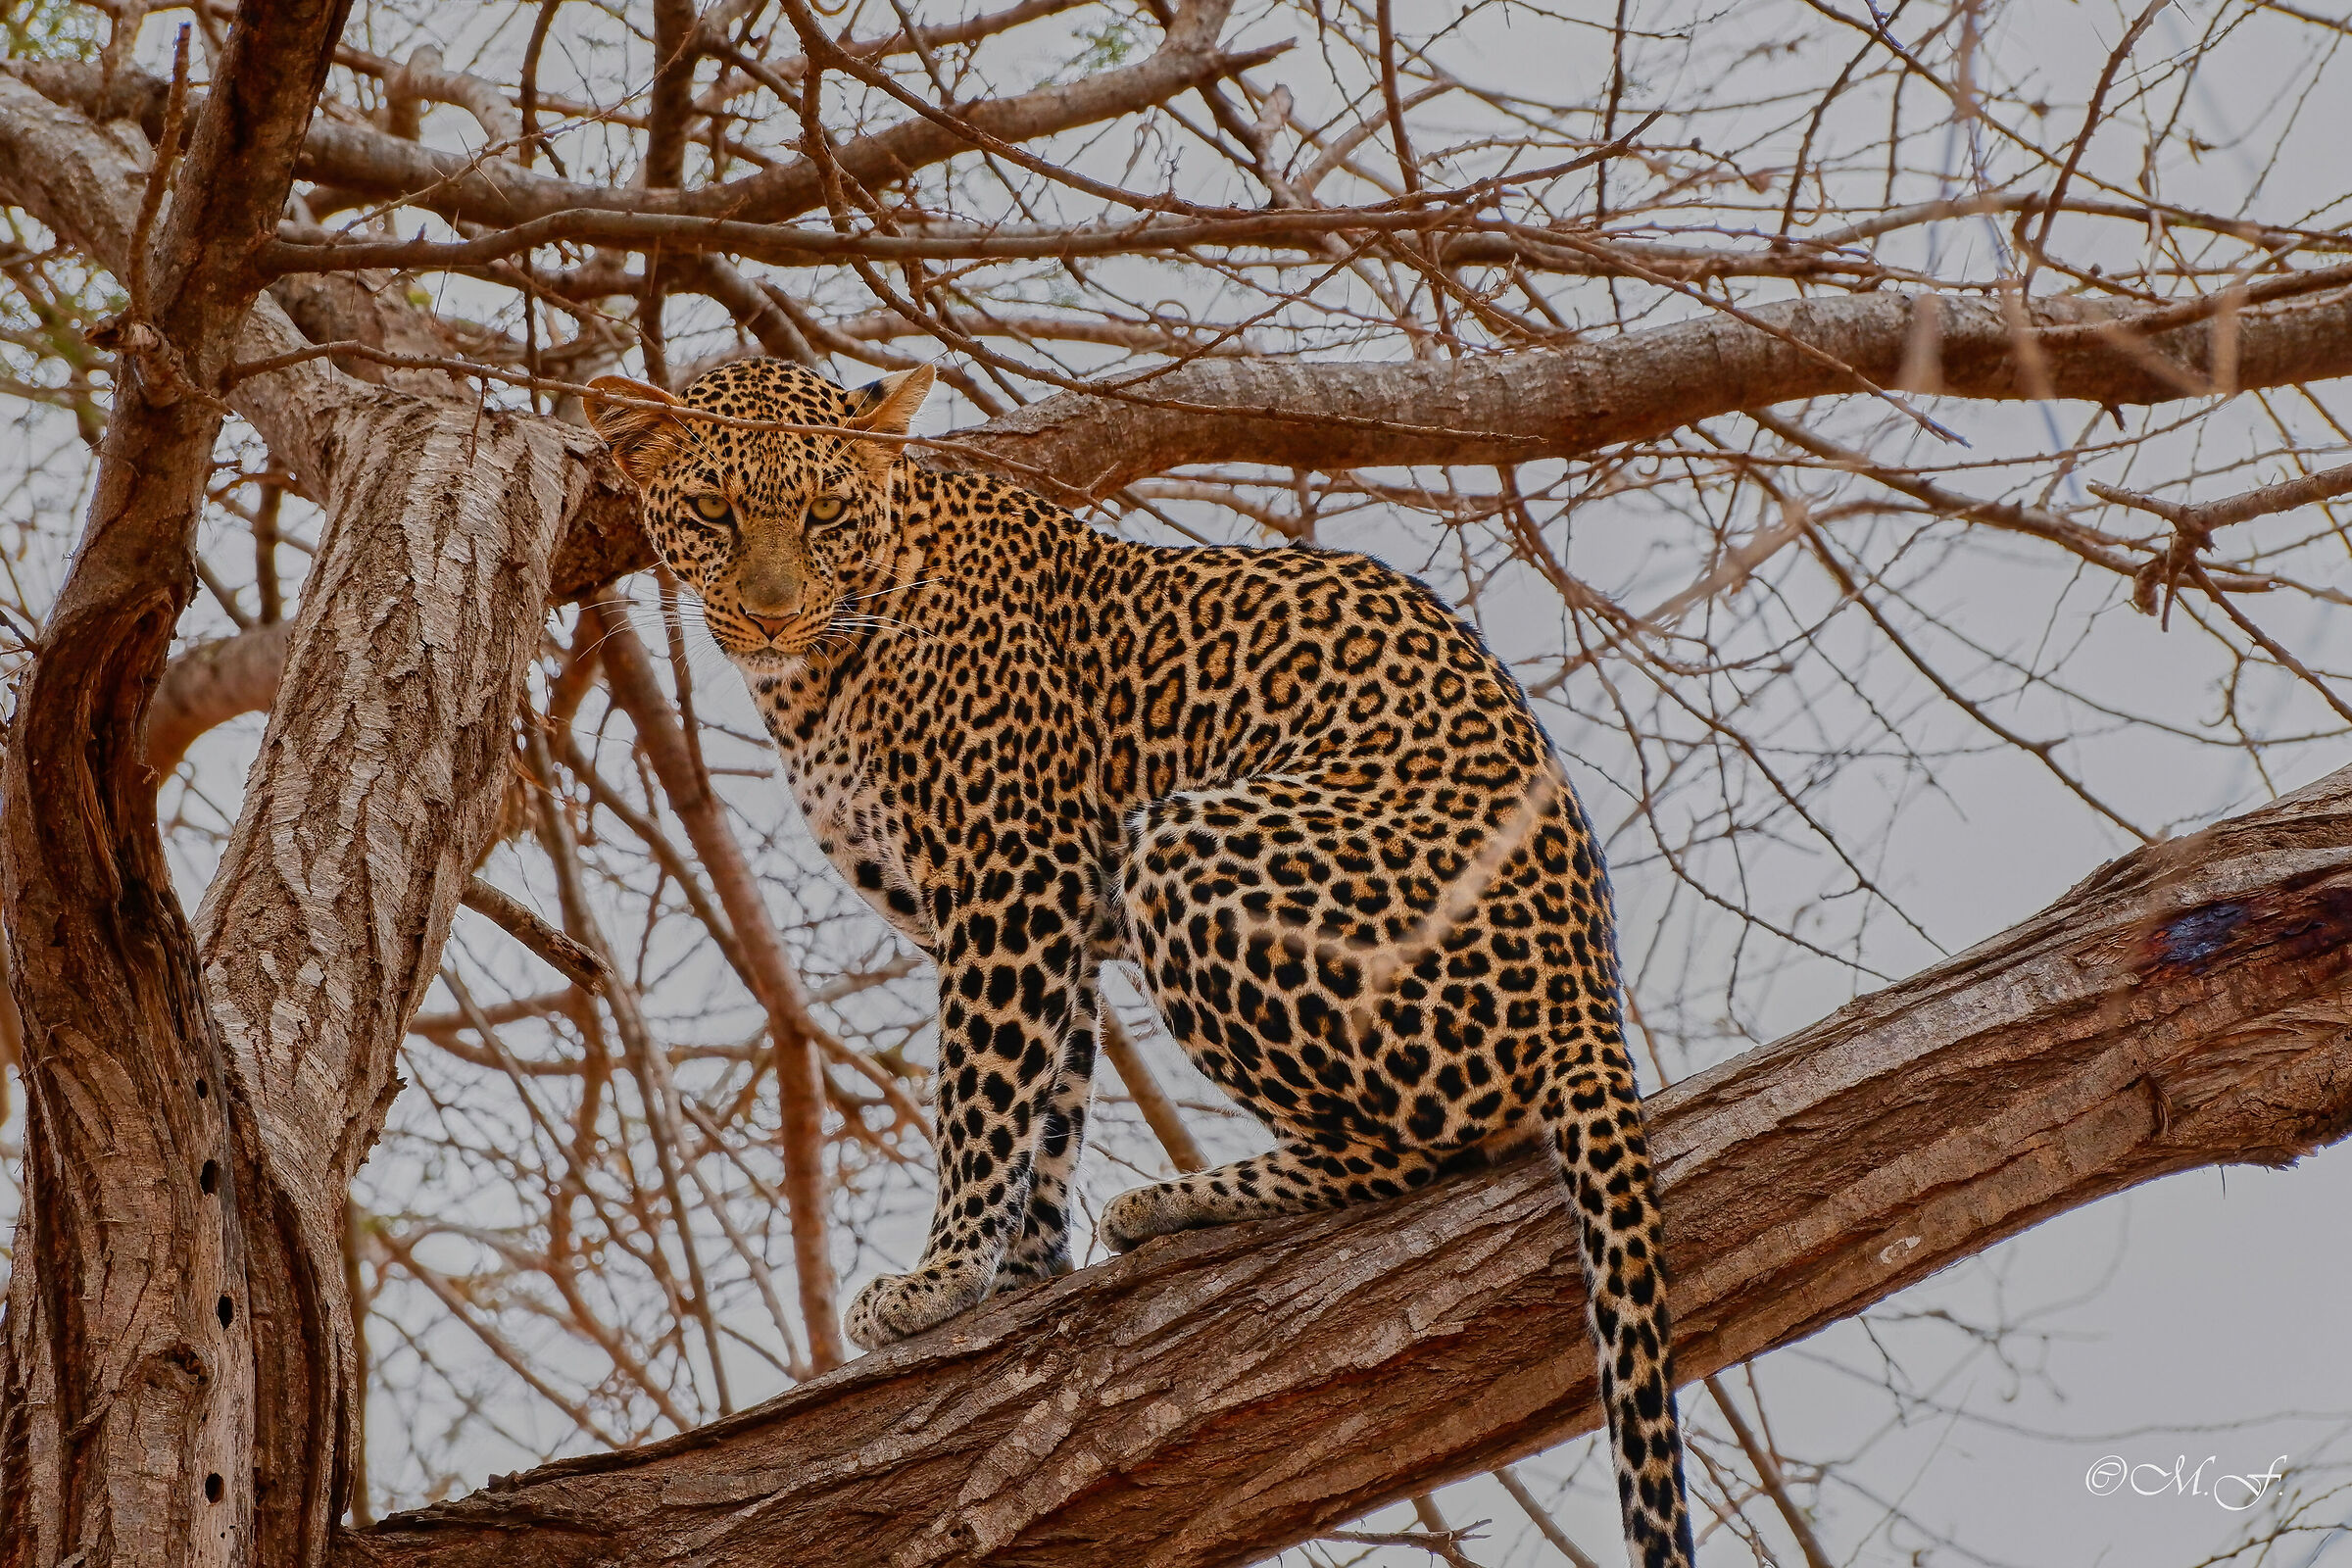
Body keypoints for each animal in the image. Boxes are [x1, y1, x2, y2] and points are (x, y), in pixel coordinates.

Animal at [585, 358, 1694, 1568]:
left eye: (827, 513)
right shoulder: (1047, 918)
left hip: (1191, 842)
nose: (773, 609)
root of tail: (1588, 987)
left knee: (1428, 1146)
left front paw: (940, 1279)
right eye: (713, 510)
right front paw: (1019, 1280)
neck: (823, 669)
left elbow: (979, 1097)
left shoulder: (1016, 874)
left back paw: (1177, 1201)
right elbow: (1047, 1101)